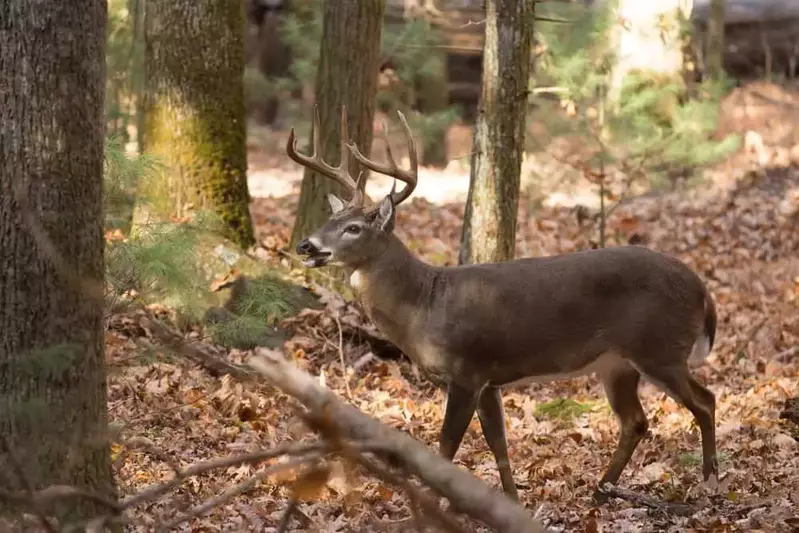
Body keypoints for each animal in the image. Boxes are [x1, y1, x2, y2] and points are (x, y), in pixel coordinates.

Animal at [288, 105, 719, 503]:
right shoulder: (489, 377)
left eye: (353, 228)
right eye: (329, 221)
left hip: (659, 347)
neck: (426, 305)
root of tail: (701, 287)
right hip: (617, 363)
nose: (306, 245)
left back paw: (709, 482)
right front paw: (511, 503)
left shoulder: (467, 369)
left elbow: (446, 446)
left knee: (705, 401)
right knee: (636, 421)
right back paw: (601, 491)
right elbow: (499, 445)